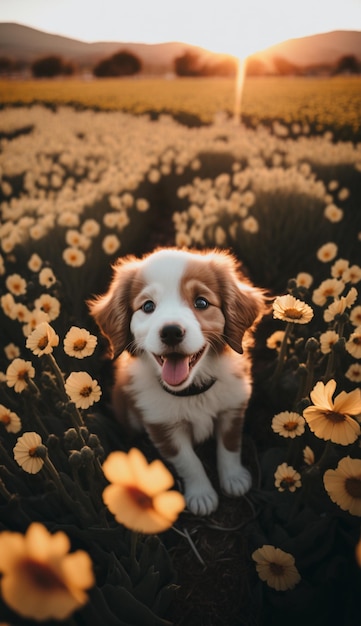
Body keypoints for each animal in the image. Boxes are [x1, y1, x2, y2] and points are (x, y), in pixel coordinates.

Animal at [89, 246, 264, 516]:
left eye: (201, 302)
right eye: (148, 306)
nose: (171, 331)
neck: (192, 391)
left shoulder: (232, 406)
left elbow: (230, 444)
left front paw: (234, 478)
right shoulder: (162, 425)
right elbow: (189, 462)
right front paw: (201, 495)